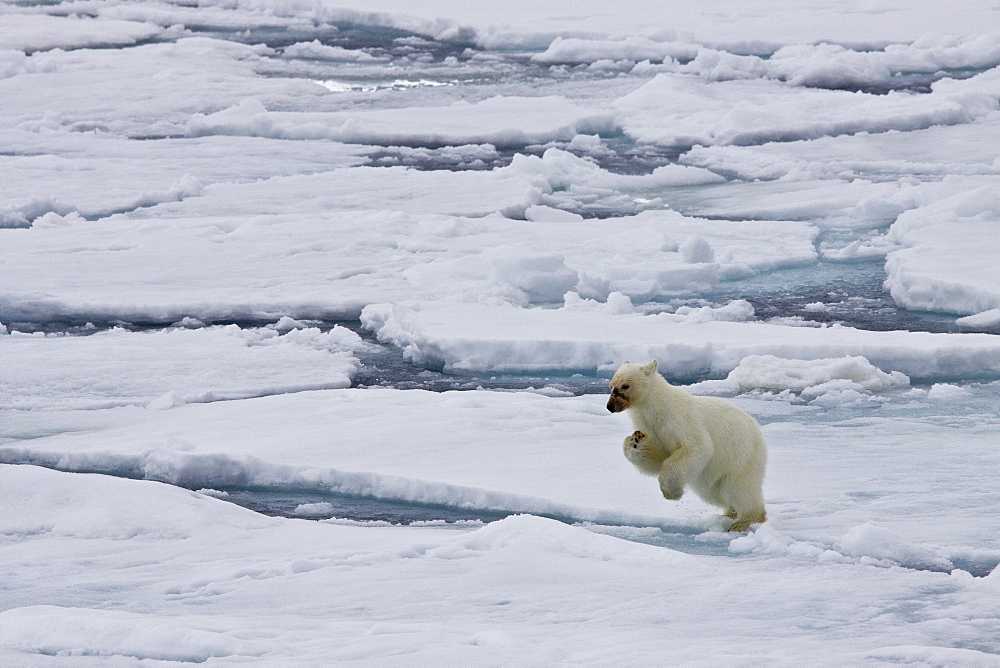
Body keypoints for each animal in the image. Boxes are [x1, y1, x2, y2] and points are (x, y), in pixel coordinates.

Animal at [608, 360, 764, 532]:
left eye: (625, 386)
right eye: (611, 385)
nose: (610, 406)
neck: (657, 409)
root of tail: (756, 428)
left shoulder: (679, 421)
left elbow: (697, 447)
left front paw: (671, 492)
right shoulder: (651, 428)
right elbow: (656, 457)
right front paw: (635, 440)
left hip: (741, 455)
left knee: (738, 488)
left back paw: (744, 521)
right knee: (715, 492)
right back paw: (730, 513)